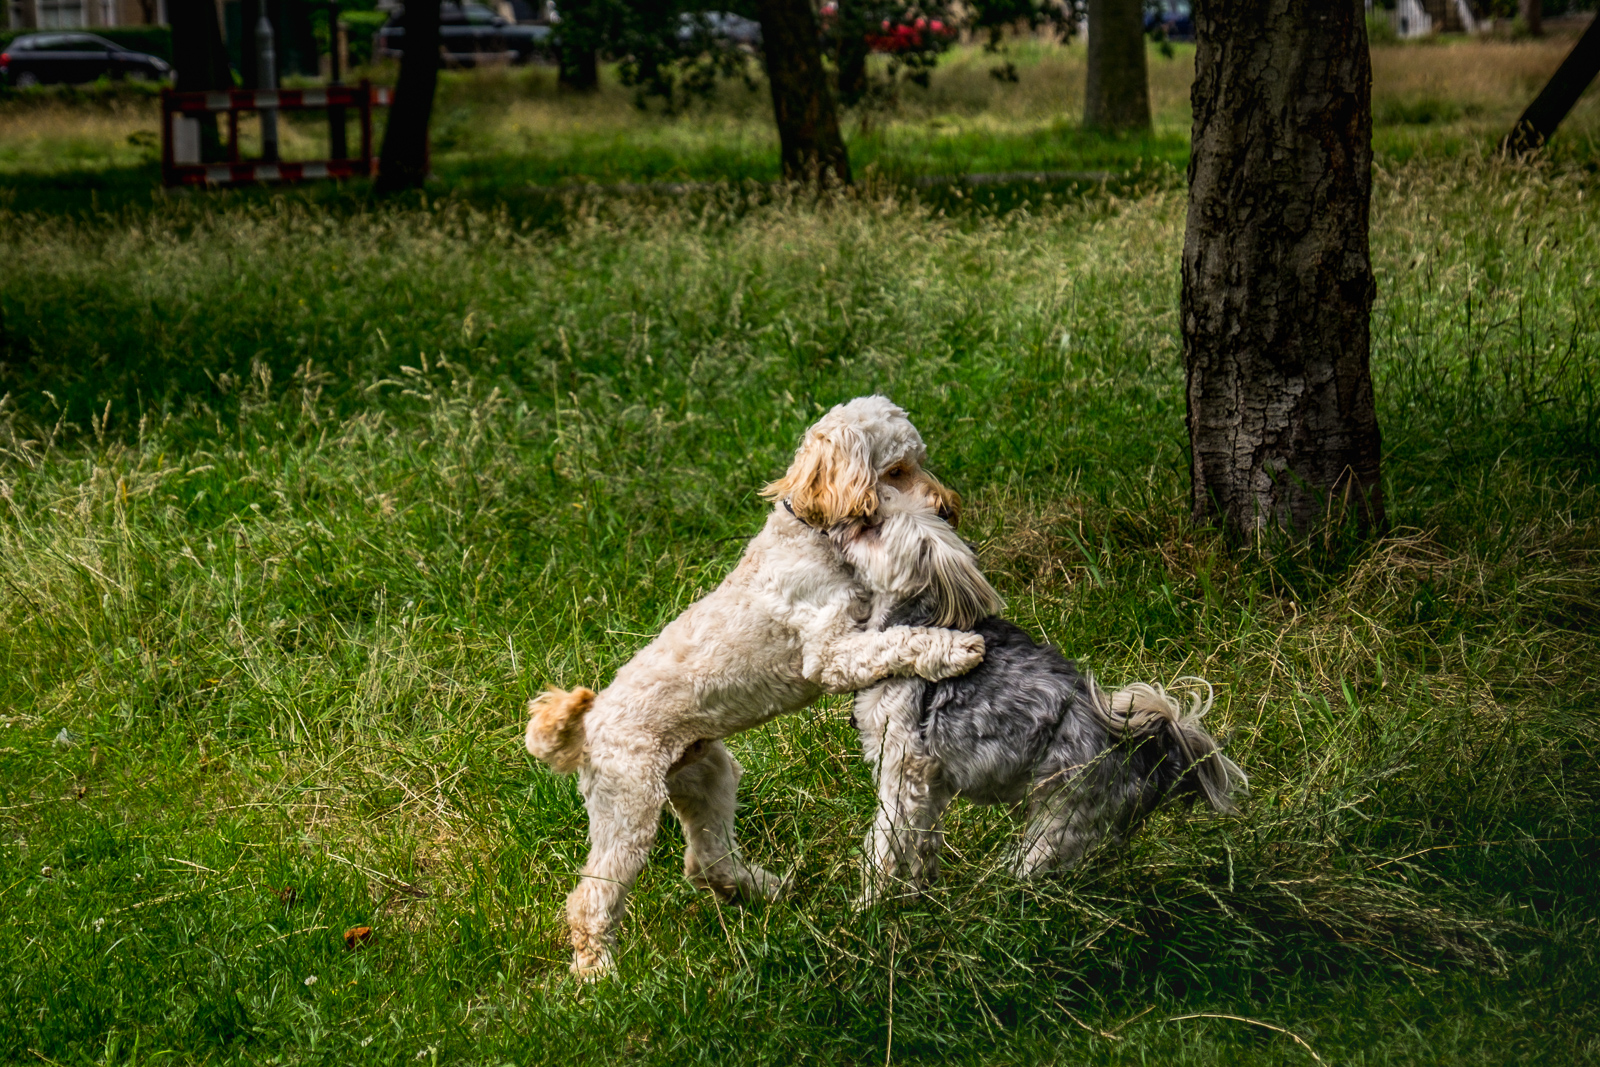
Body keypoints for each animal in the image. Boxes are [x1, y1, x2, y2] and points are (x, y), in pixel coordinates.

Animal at [524, 398, 979, 979]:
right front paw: (954, 647)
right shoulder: (830, 654)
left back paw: (765, 891)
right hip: (628, 806)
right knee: (592, 898)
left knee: (705, 861)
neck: (813, 535)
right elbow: (894, 642)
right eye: (897, 470)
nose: (948, 508)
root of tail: (588, 722)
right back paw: (599, 973)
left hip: (706, 777)